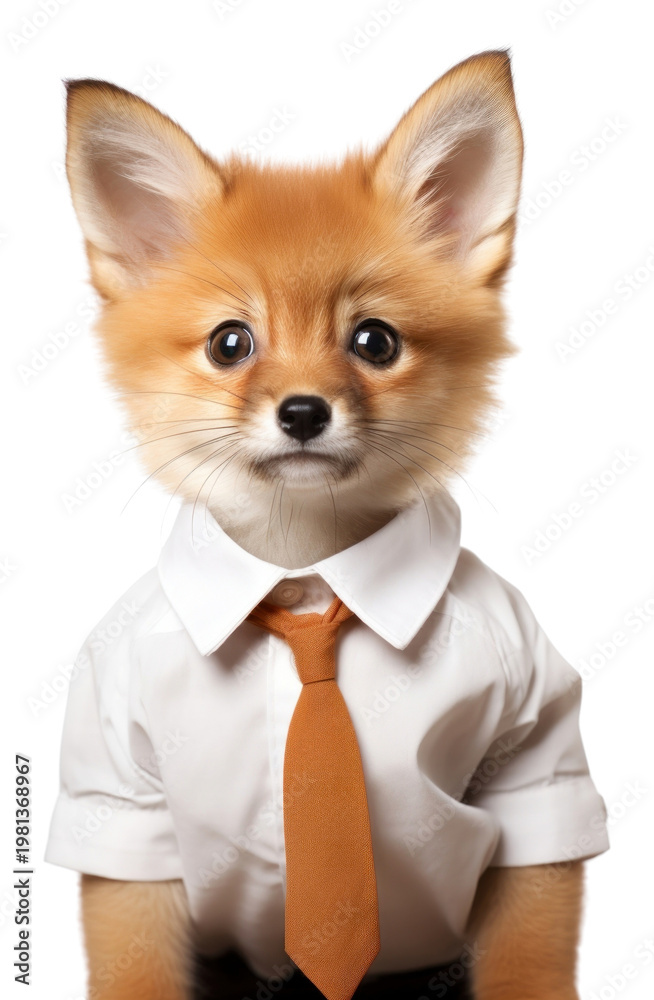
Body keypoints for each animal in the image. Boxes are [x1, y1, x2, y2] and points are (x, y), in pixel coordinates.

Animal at [53, 50, 598, 1000]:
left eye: (374, 341)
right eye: (230, 343)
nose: (304, 411)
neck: (304, 577)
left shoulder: (533, 762)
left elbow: (529, 953)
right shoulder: (118, 796)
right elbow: (134, 965)